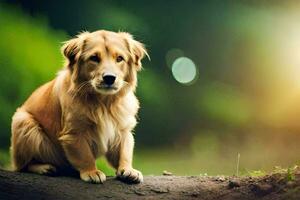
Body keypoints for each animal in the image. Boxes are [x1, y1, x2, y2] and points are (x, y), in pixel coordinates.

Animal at [9, 30, 148, 184]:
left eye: (119, 58)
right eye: (94, 58)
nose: (109, 78)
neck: (103, 103)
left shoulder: (123, 130)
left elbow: (125, 152)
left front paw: (128, 170)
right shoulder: (74, 133)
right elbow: (85, 155)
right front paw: (92, 172)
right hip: (23, 122)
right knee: (23, 166)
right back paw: (44, 167)